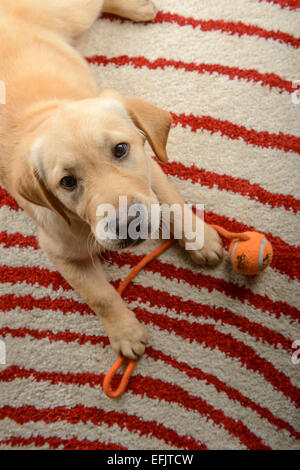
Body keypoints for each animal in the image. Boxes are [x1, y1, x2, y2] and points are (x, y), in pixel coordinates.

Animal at [0, 0, 223, 360]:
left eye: (120, 150)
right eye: (67, 182)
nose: (127, 225)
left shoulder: (149, 164)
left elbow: (172, 202)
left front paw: (199, 239)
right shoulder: (59, 250)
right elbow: (100, 295)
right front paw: (125, 332)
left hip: (72, 15)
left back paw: (137, 8)